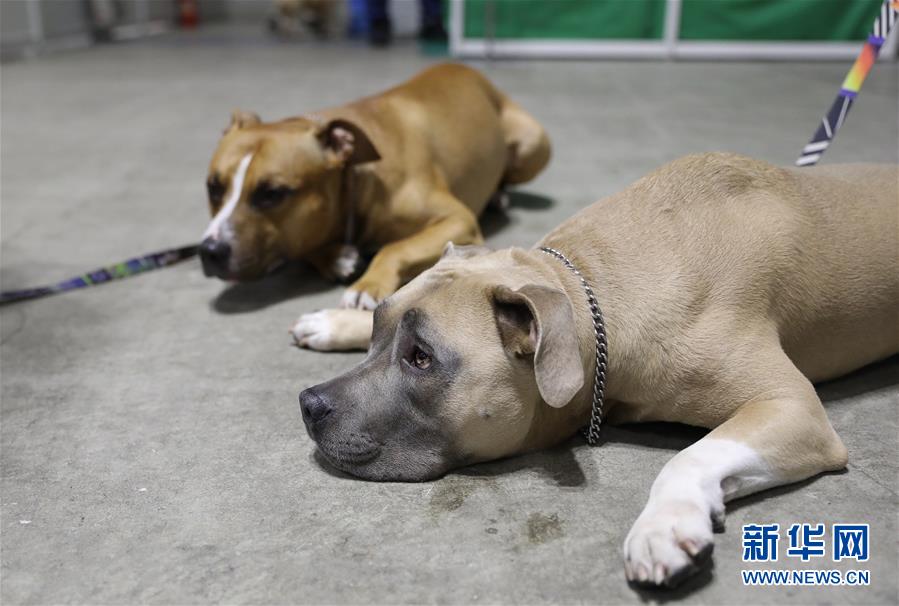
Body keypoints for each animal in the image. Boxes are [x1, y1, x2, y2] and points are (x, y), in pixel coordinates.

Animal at [199, 63, 550, 316]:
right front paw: (335, 257)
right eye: (213, 187)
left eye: (272, 193)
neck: (356, 180)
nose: (209, 251)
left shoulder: (458, 220)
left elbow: (394, 247)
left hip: (534, 144)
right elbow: (307, 244)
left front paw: (365, 286)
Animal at [293, 153, 898, 587]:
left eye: (421, 357)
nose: (309, 403)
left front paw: (664, 522)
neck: (596, 291)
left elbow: (692, 454)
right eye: (382, 329)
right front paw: (340, 317)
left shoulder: (791, 406)